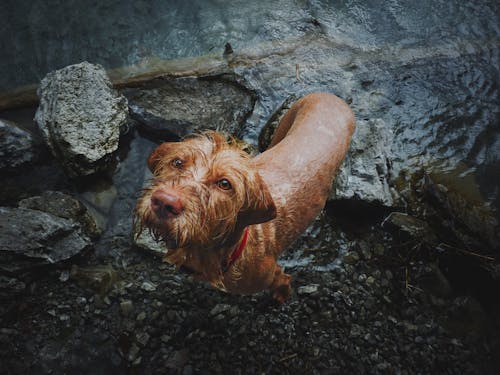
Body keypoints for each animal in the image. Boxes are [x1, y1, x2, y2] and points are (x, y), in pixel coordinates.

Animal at [136, 93, 356, 302]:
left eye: (225, 184)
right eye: (177, 162)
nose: (164, 201)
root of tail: (332, 97)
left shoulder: (274, 274)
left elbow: (283, 282)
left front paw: (281, 296)